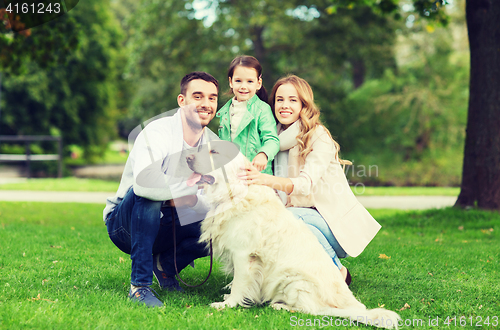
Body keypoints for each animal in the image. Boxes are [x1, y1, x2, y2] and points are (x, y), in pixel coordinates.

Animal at [186, 141, 400, 328]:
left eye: (214, 152)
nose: (187, 158)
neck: (233, 193)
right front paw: (228, 297)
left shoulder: (243, 254)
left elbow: (239, 282)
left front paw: (228, 304)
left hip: (293, 280)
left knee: (313, 311)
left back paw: (280, 306)